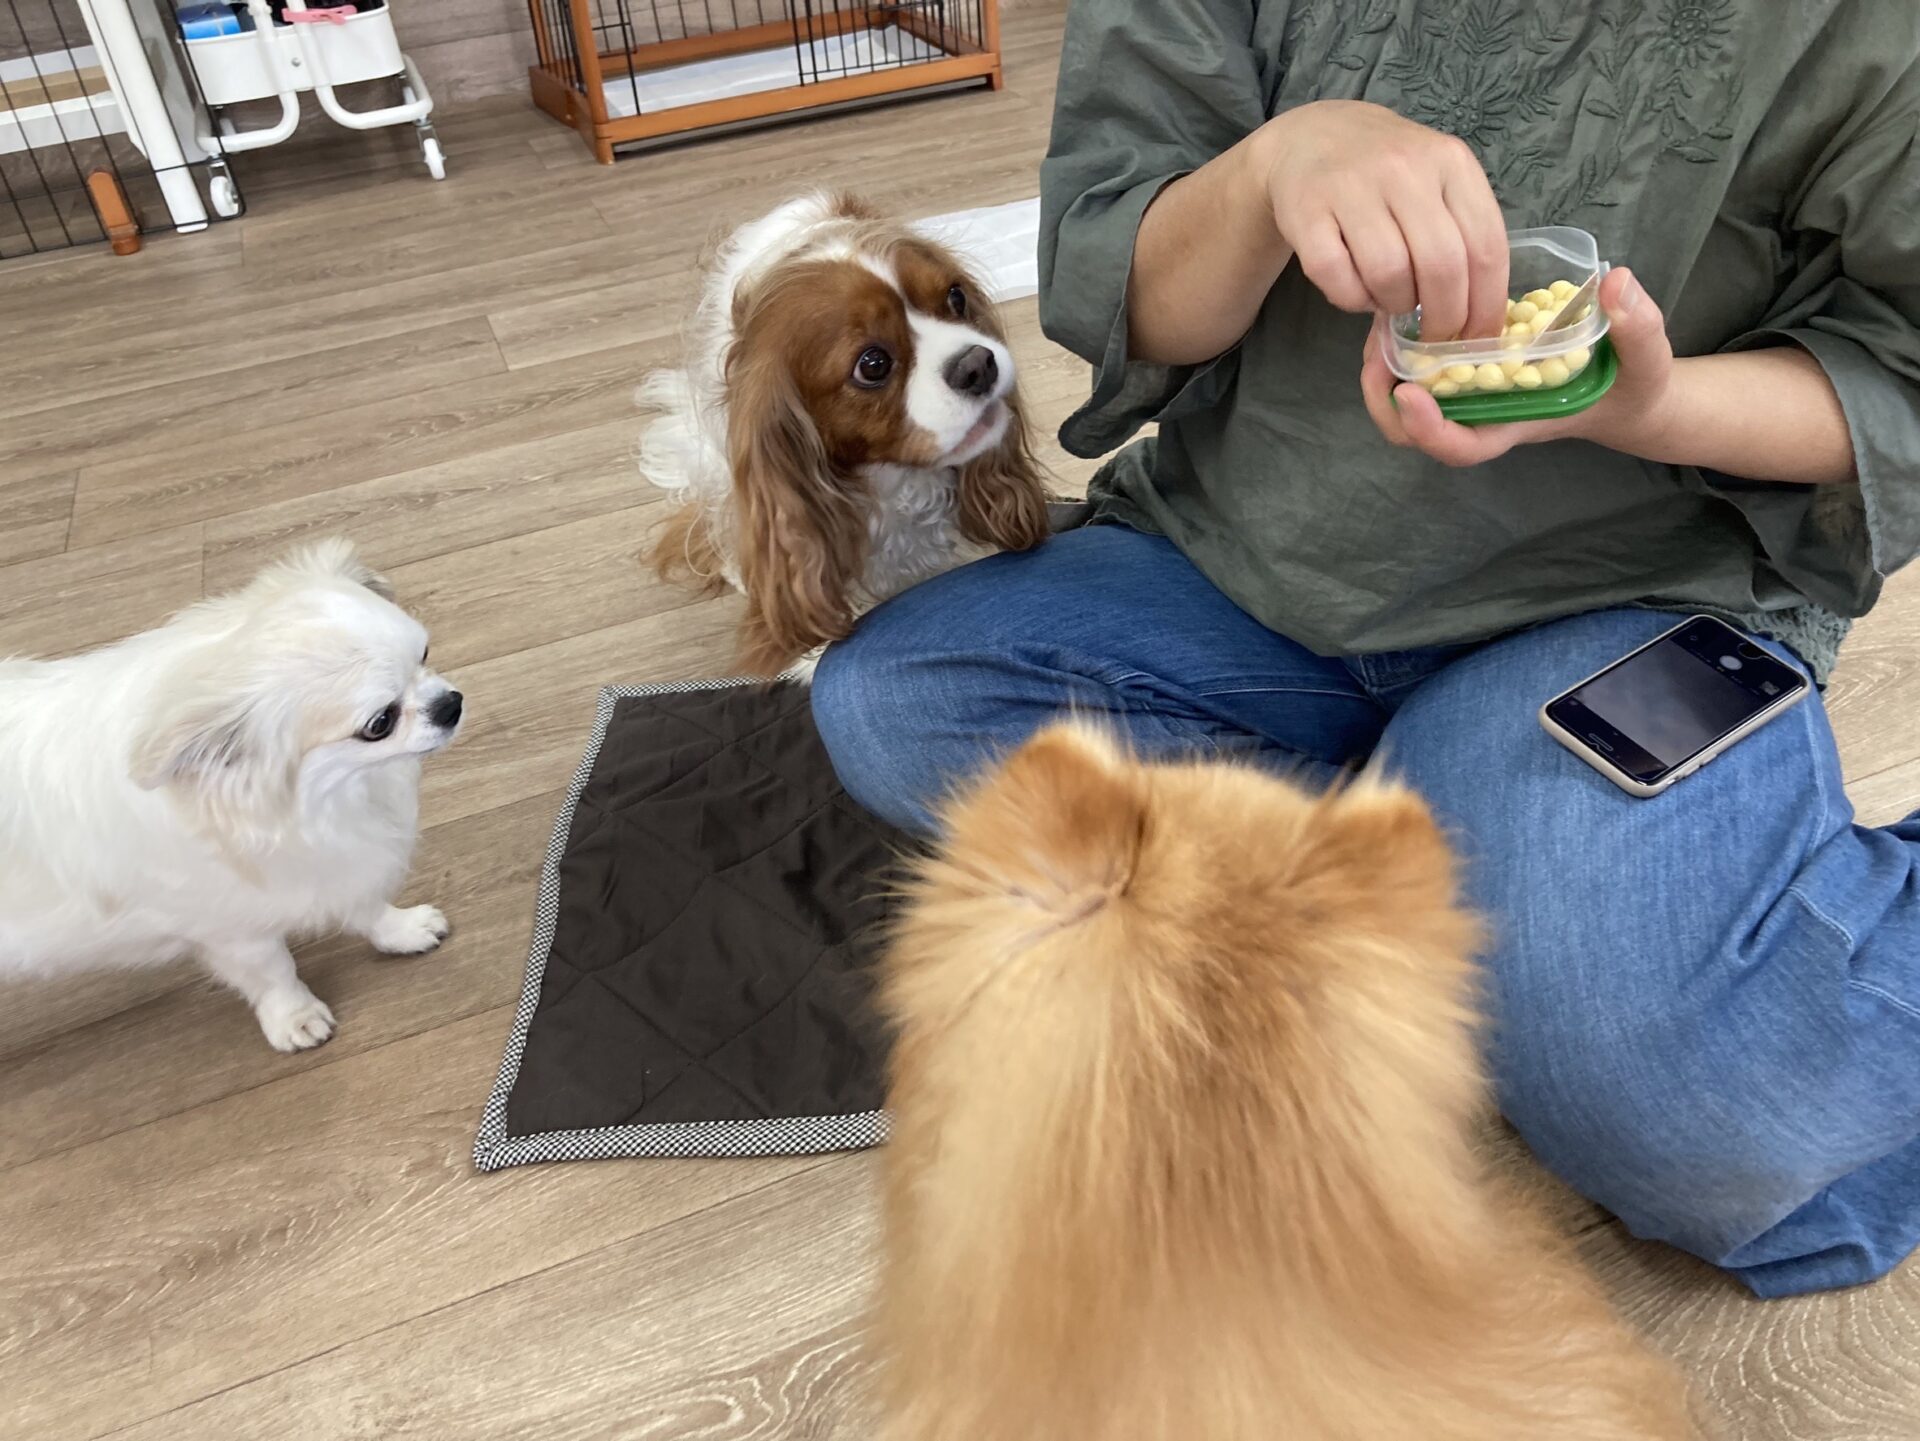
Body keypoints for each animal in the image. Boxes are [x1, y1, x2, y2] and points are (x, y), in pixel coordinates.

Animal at [0, 539, 463, 1053]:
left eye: (425, 652)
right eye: (380, 723)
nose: (451, 704)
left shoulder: (333, 861)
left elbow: (368, 906)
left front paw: (402, 930)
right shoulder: (232, 928)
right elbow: (274, 972)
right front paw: (294, 1018)